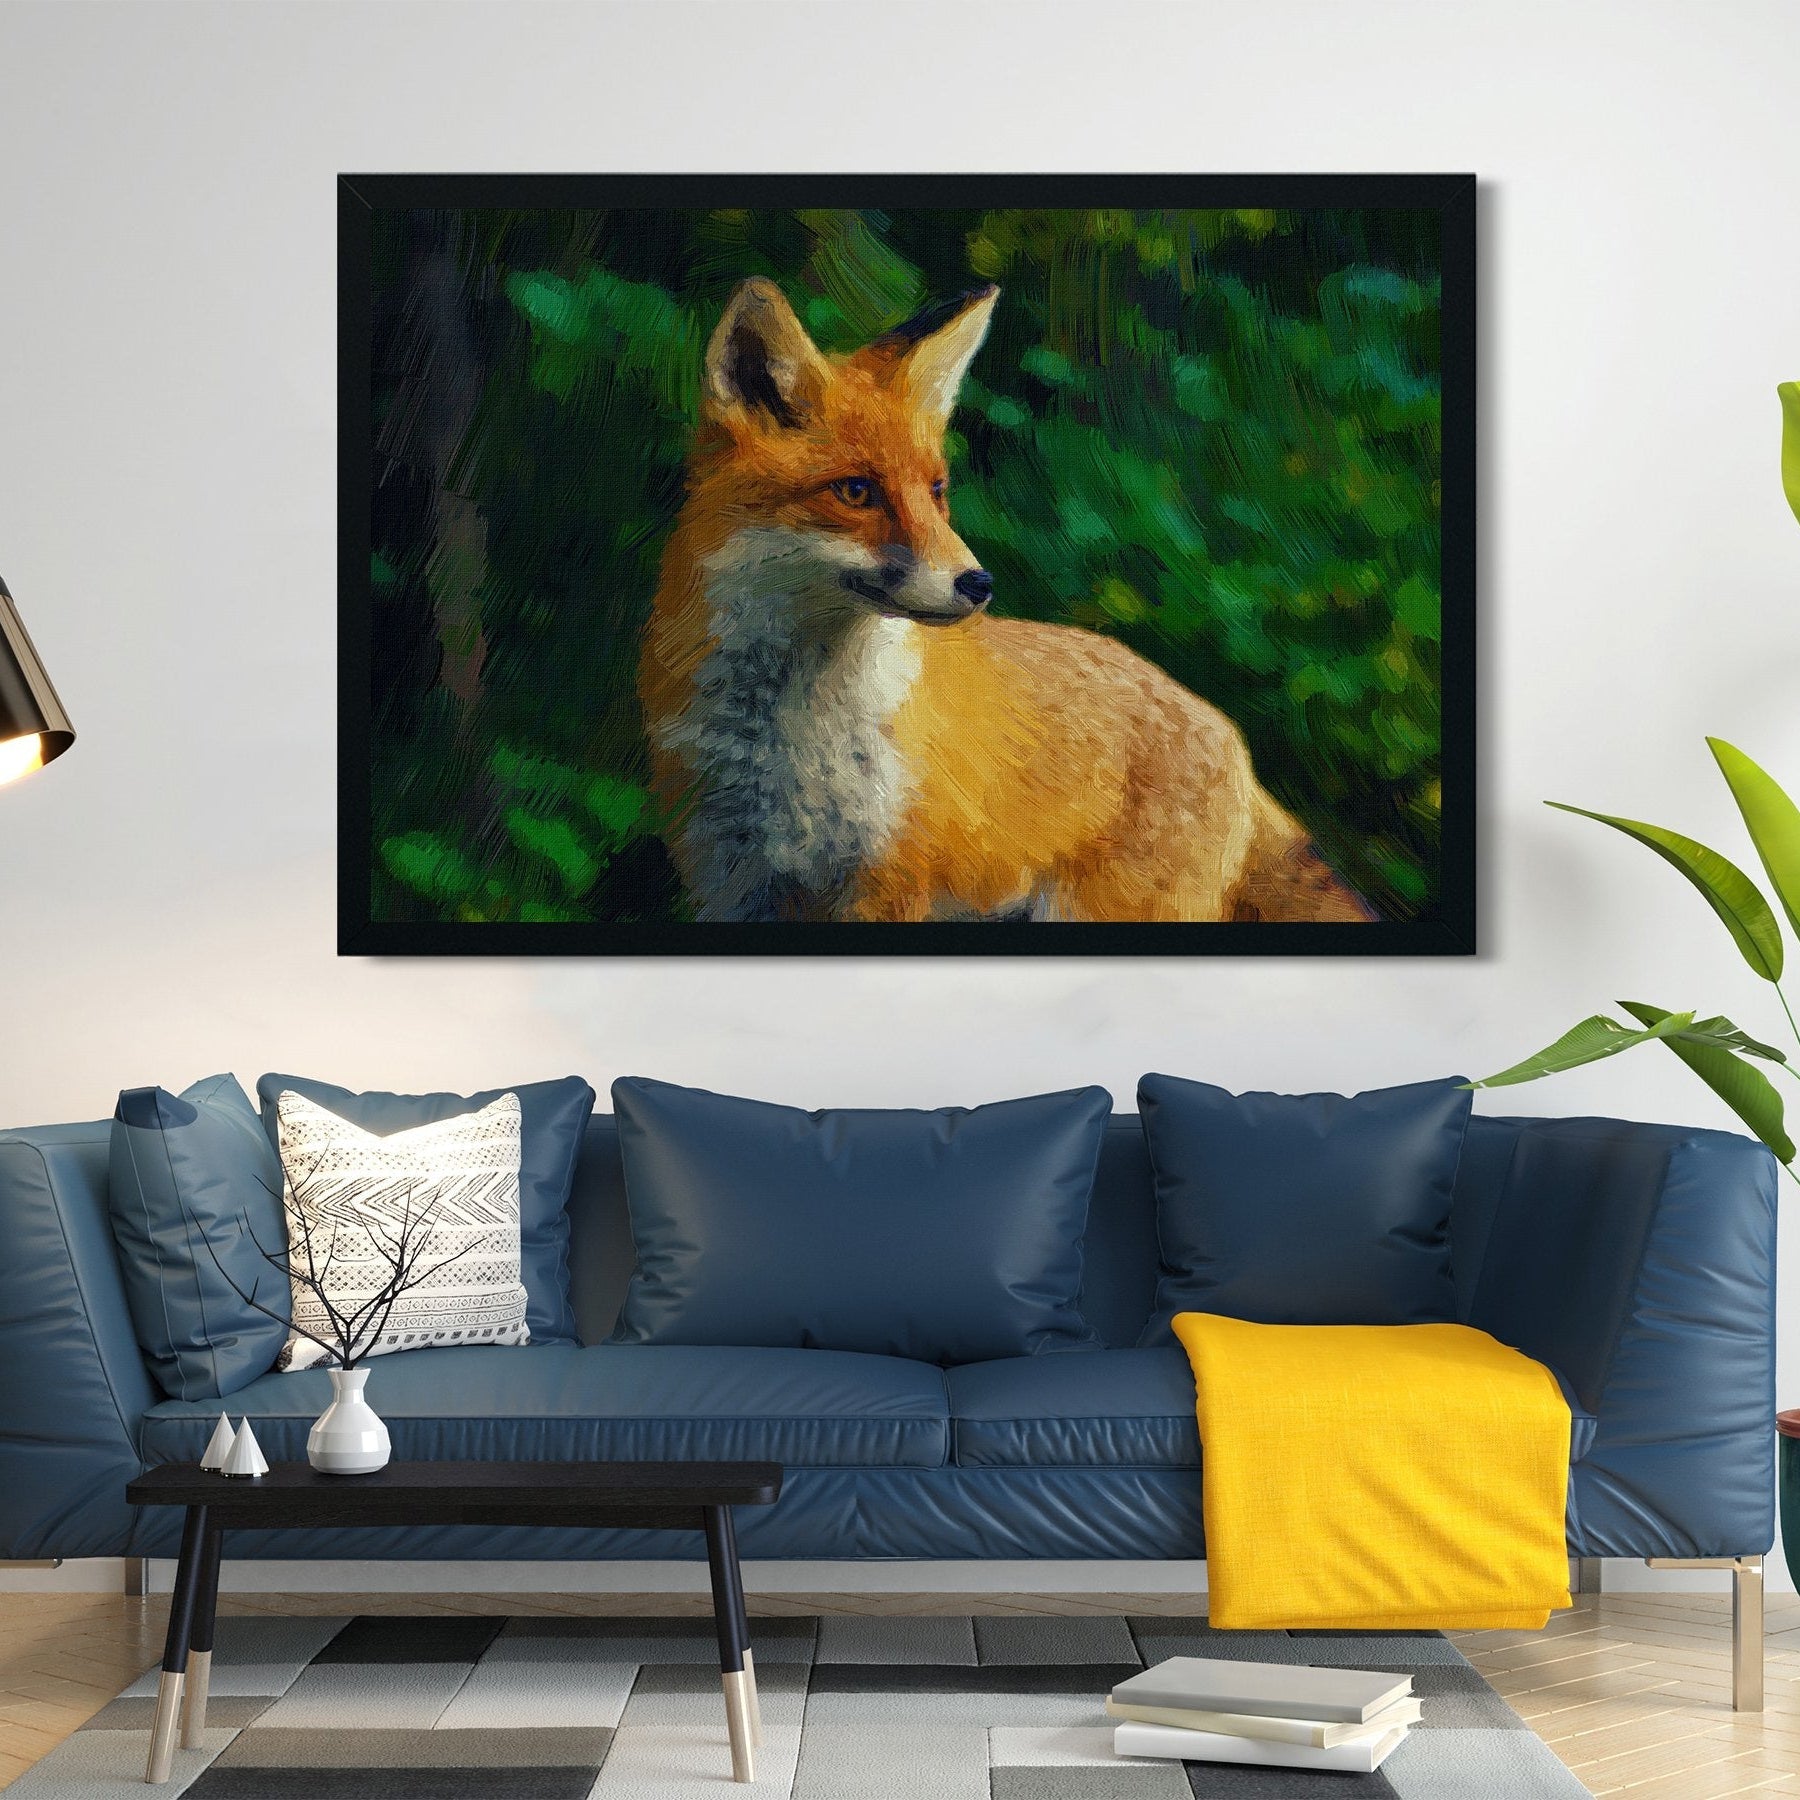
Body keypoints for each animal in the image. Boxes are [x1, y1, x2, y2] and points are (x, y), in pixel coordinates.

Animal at [638, 277, 1377, 925]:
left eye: (936, 490)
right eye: (855, 492)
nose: (978, 583)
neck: (784, 734)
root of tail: (1228, 734)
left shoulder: (887, 883)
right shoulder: (731, 883)